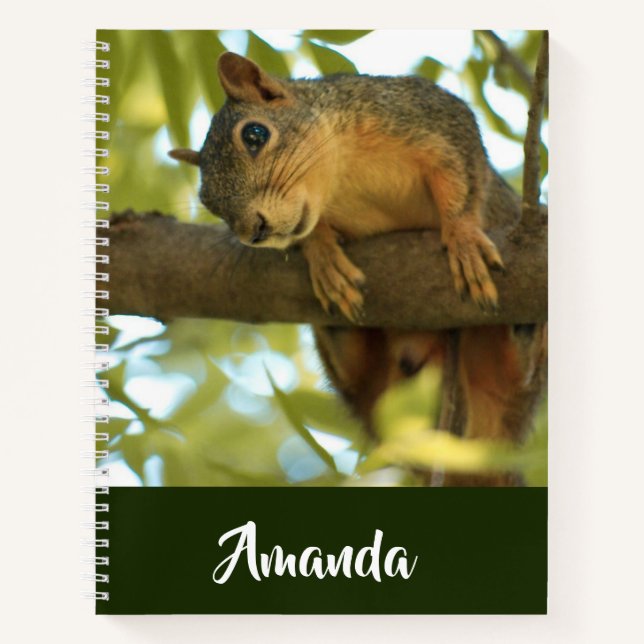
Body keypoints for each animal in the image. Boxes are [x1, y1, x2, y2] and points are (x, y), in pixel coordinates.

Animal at [169, 52, 547, 486]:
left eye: (255, 135)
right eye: (208, 201)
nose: (254, 231)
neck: (340, 179)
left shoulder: (429, 116)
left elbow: (461, 178)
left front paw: (463, 236)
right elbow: (311, 233)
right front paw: (321, 253)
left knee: (519, 374)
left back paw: (524, 331)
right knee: (358, 370)